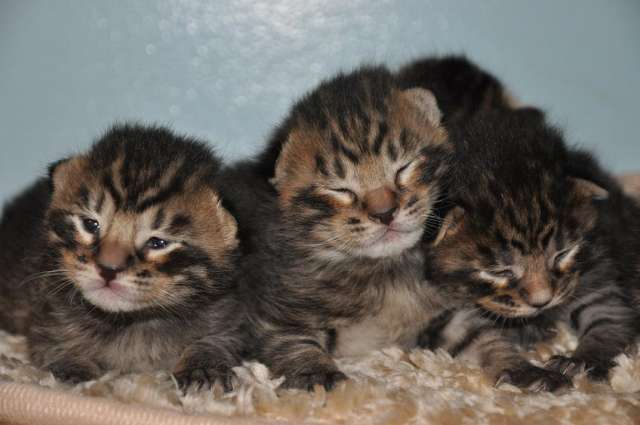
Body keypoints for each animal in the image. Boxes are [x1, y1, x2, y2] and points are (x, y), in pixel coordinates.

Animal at [0, 122, 245, 388]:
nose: (109, 269)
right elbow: (52, 342)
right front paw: (72, 365)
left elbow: (220, 339)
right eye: (90, 225)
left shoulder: (228, 316)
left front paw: (203, 367)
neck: (131, 322)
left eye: (158, 243)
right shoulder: (45, 313)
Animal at [424, 108, 640, 380]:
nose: (542, 302)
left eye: (562, 255)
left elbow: (608, 316)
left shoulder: (595, 269)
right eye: (499, 272)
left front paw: (583, 361)